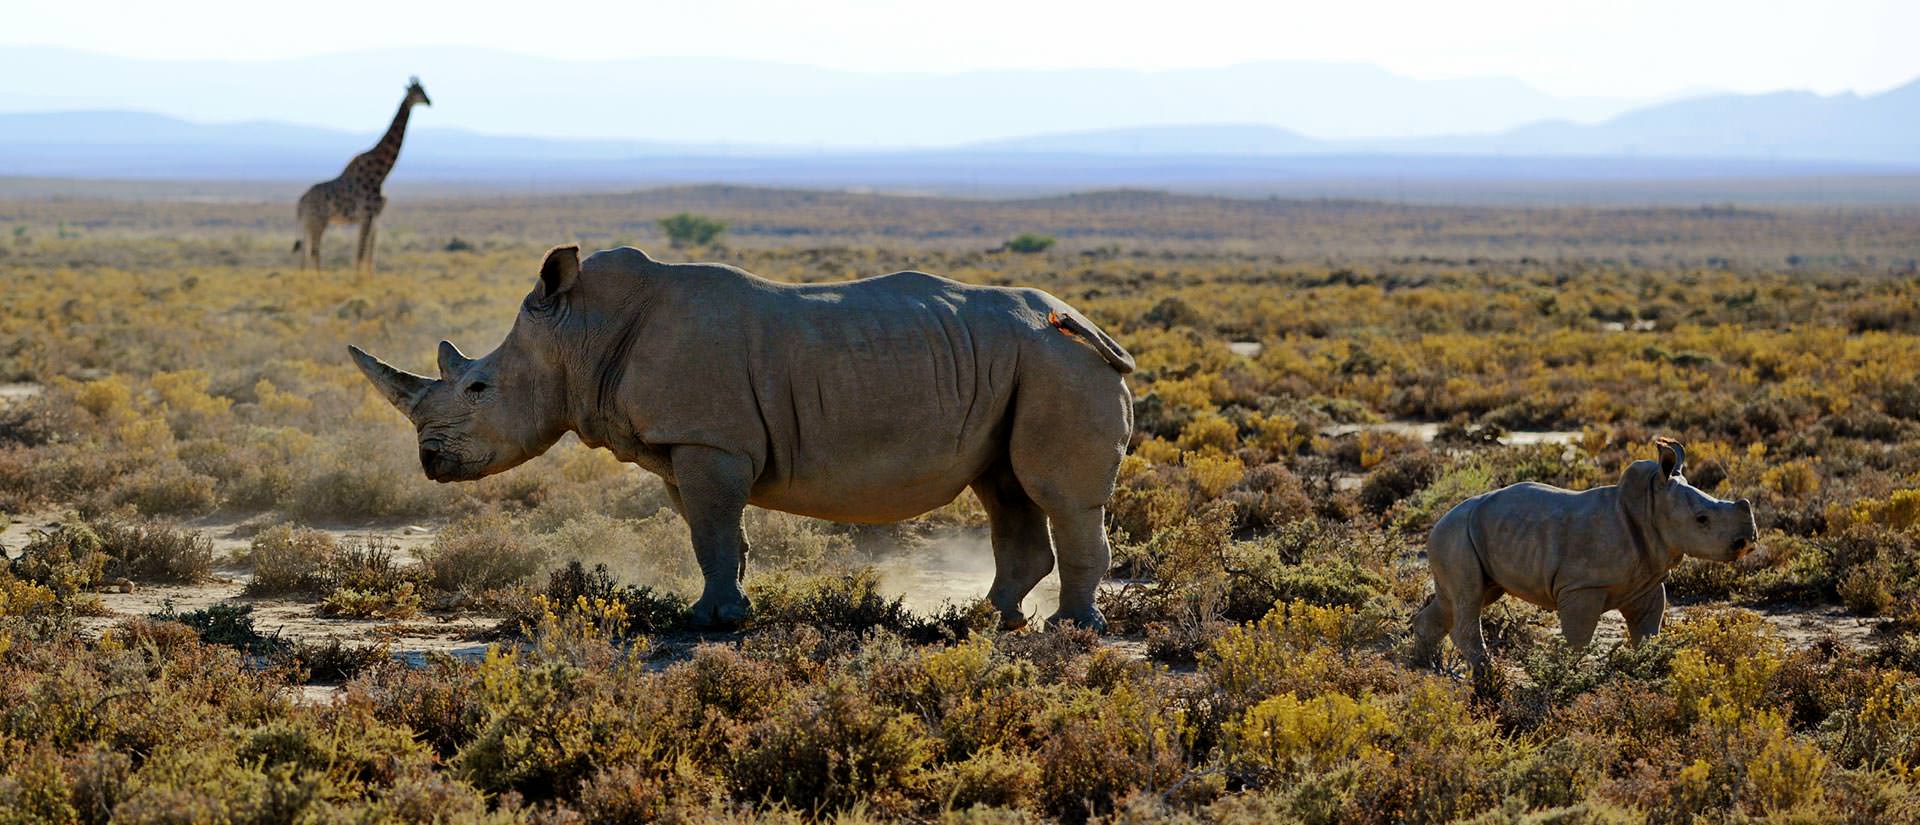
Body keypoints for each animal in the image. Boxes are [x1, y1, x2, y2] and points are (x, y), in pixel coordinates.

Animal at [291, 76, 432, 274]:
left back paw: (304, 276)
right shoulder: (367, 214)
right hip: (319, 220)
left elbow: (370, 253)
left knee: (304, 251)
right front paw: (358, 279)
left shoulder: (376, 216)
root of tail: (301, 202)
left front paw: (369, 277)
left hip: (308, 222)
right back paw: (318, 277)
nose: (429, 101)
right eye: (417, 91)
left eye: (424, 89)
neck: (381, 172)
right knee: (314, 250)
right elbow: (361, 252)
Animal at [351, 243, 1128, 625]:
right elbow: (715, 534)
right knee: (1005, 489)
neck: (580, 331)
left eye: (478, 387)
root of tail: (1087, 322)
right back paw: (990, 619)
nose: (429, 461)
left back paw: (1069, 631)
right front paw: (723, 609)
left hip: (1058, 363)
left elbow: (713, 531)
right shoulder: (684, 446)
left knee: (1056, 493)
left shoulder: (709, 440)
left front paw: (711, 624)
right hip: (1024, 364)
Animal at [1413, 441, 1758, 686]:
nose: (1749, 540)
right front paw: (1567, 676)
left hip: (1466, 535)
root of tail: (1439, 520)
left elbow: (1647, 633)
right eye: (1702, 519)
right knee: (1468, 598)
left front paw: (1649, 668)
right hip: (1456, 534)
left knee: (1461, 598)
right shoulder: (1583, 586)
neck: (1650, 506)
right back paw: (1486, 679)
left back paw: (1424, 667)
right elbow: (1578, 640)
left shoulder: (1645, 584)